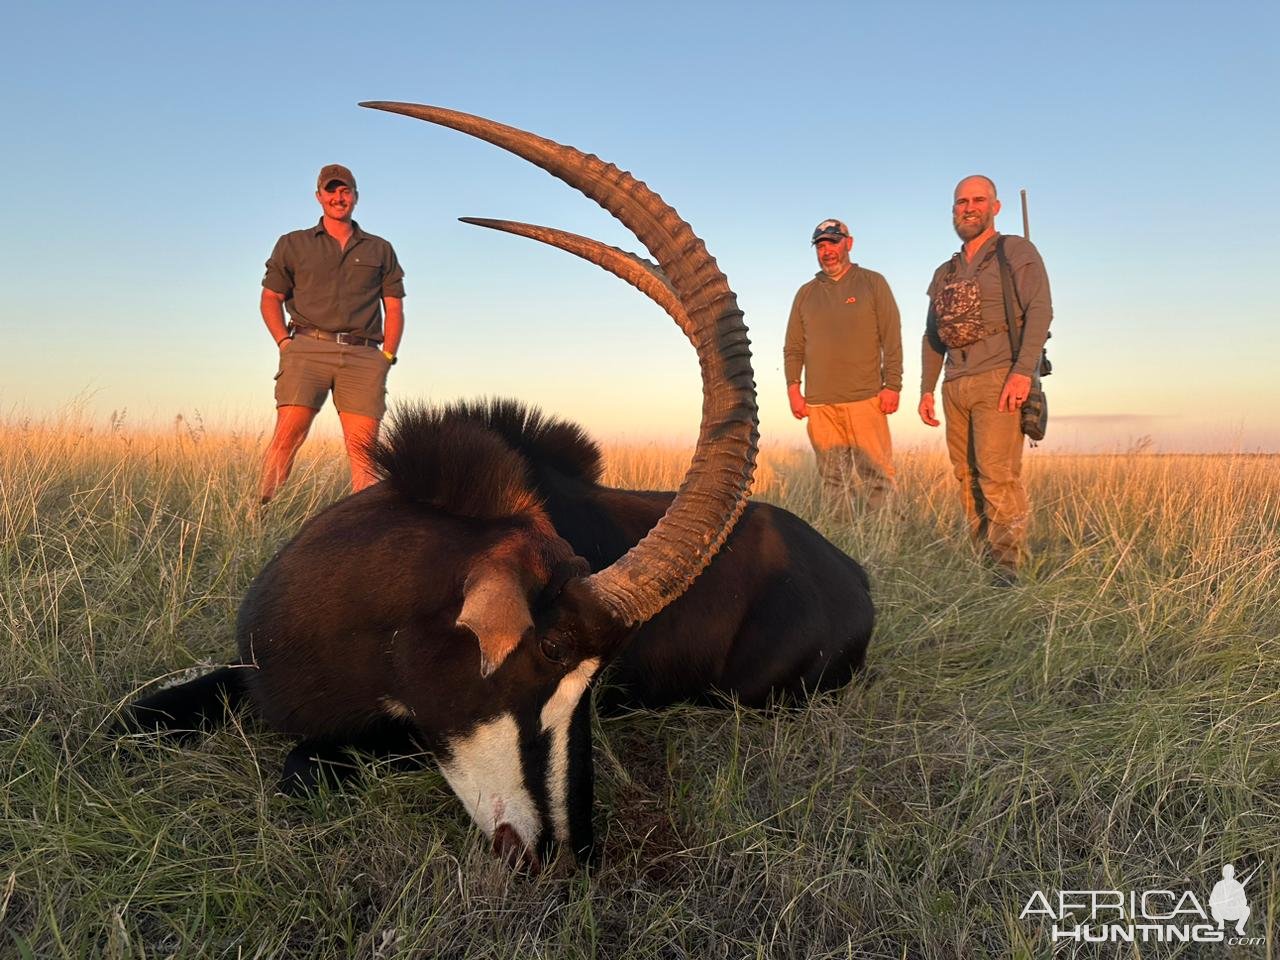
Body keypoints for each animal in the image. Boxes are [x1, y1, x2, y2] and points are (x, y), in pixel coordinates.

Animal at [117, 103, 870, 870]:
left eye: (597, 682)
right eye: (552, 651)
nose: (564, 853)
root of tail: (854, 574)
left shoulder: (396, 730)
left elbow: (303, 763)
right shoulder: (247, 668)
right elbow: (128, 718)